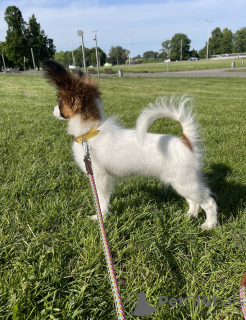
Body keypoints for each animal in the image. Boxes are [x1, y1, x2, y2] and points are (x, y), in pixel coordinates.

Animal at [43, 60, 217, 230]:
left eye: (59, 102)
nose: (52, 109)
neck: (90, 132)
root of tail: (186, 141)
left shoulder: (100, 176)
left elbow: (101, 199)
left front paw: (100, 217)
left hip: (185, 182)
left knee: (209, 202)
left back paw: (209, 225)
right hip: (181, 182)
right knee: (193, 201)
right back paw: (189, 216)